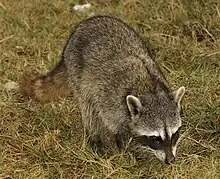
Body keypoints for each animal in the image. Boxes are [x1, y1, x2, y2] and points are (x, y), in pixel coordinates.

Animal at [19, 15, 186, 164]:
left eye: (174, 134)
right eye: (155, 138)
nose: (171, 160)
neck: (150, 90)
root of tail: (87, 22)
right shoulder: (110, 101)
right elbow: (115, 128)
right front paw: (125, 150)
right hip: (77, 71)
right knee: (88, 108)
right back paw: (95, 138)